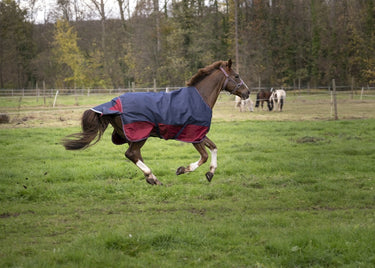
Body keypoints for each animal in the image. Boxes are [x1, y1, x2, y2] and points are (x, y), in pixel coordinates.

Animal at [62, 59, 250, 185]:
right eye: (237, 75)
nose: (247, 92)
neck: (199, 98)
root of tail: (112, 104)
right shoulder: (194, 134)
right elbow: (204, 156)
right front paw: (183, 169)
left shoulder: (200, 134)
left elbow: (214, 147)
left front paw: (210, 173)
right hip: (140, 135)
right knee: (131, 154)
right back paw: (153, 177)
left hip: (133, 137)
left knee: (135, 155)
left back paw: (151, 178)